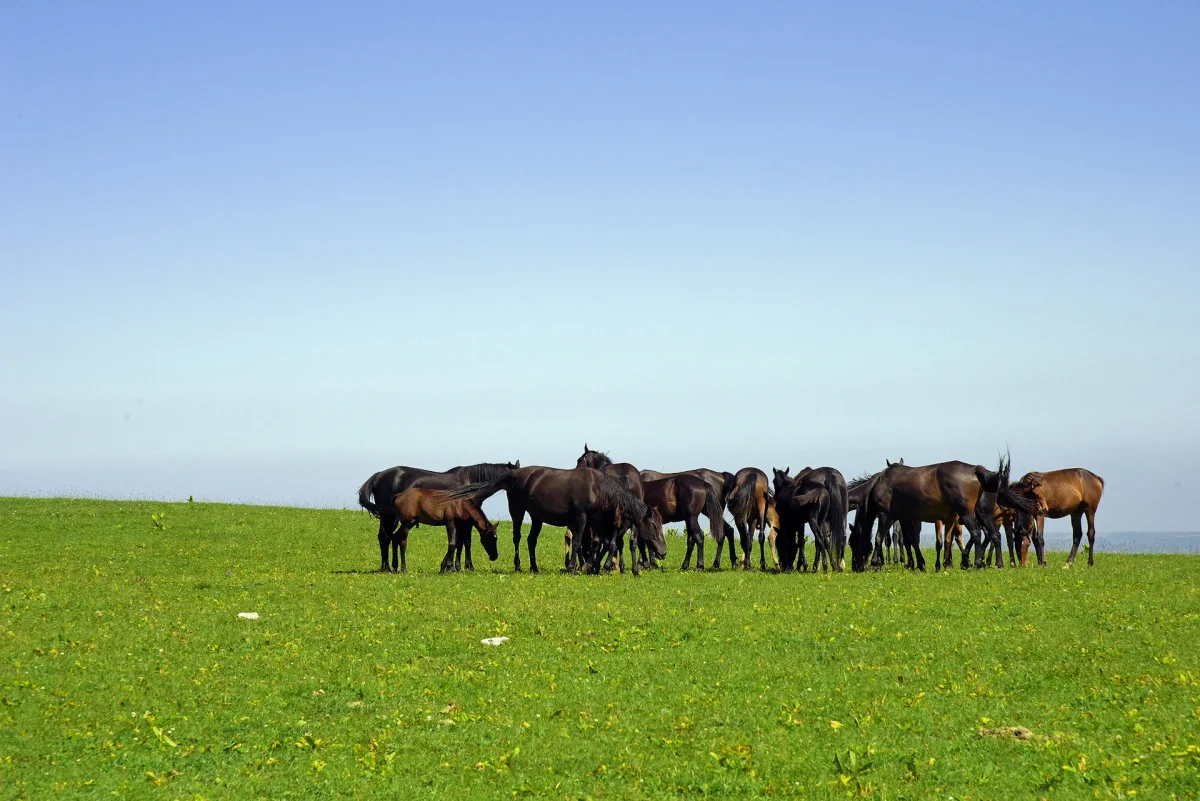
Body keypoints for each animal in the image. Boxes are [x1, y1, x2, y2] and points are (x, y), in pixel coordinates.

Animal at [357, 460, 523, 573]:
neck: (471, 483)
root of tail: (378, 475)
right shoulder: (465, 522)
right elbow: (466, 542)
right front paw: (466, 567)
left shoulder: (462, 521)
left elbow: (460, 543)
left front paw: (455, 567)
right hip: (390, 517)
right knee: (385, 538)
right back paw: (387, 567)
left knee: (386, 537)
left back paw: (388, 566)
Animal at [446, 462, 667, 575]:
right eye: (653, 525)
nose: (664, 552)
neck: (597, 487)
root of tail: (513, 474)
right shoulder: (580, 519)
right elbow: (578, 543)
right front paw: (574, 568)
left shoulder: (596, 521)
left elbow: (602, 543)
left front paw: (592, 566)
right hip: (517, 511)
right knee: (517, 537)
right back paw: (518, 566)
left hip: (536, 517)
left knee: (531, 540)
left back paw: (534, 567)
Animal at [844, 453, 1041, 573]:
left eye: (852, 542)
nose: (855, 566)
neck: (882, 483)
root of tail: (976, 470)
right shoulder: (905, 517)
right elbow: (910, 541)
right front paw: (917, 564)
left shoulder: (887, 515)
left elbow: (879, 538)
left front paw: (875, 564)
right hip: (983, 513)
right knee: (994, 536)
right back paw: (998, 564)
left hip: (967, 514)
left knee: (977, 534)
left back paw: (976, 563)